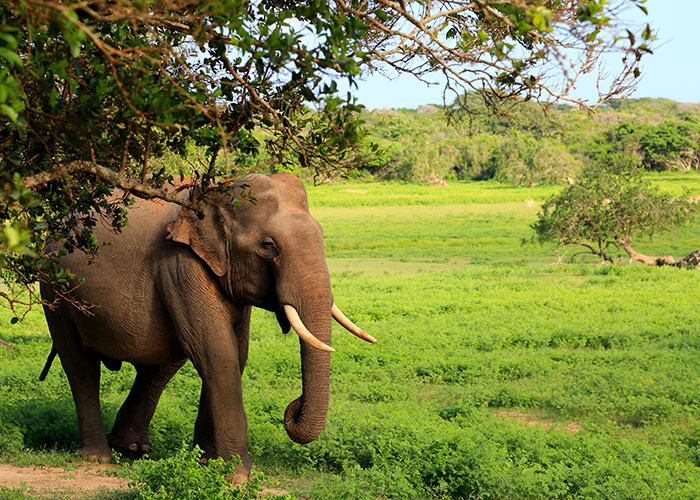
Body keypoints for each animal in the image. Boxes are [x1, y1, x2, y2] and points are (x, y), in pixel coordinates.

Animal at [39, 172, 375, 483]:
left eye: (322, 235)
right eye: (268, 246)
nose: (293, 407)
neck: (218, 195)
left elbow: (235, 354)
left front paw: (208, 465)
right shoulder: (180, 263)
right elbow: (218, 352)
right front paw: (238, 477)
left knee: (160, 366)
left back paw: (131, 448)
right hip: (55, 287)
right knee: (79, 364)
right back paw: (97, 458)